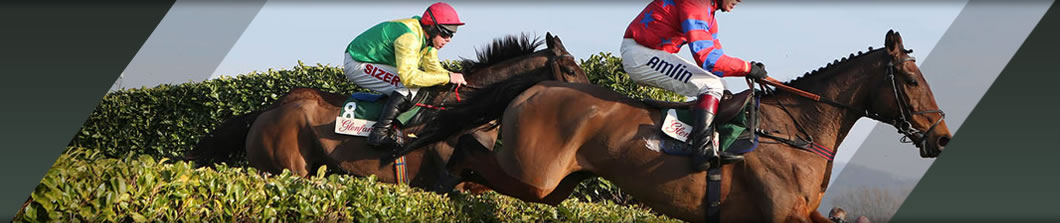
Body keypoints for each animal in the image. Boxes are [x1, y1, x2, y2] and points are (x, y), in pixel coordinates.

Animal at [402, 30, 953, 221]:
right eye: (910, 78)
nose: (942, 137)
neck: (796, 130)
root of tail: (536, 86)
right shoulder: (781, 216)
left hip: (554, 185)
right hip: (533, 175)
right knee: (467, 147)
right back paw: (437, 184)